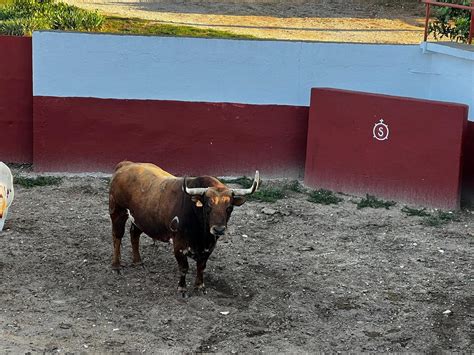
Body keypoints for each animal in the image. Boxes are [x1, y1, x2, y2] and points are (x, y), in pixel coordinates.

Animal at [108, 163, 260, 296]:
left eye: (229, 207)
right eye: (208, 206)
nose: (218, 230)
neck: (202, 235)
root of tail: (126, 165)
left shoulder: (209, 247)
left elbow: (201, 266)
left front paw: (200, 286)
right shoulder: (179, 246)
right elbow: (183, 268)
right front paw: (182, 289)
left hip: (140, 219)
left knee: (134, 234)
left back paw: (138, 262)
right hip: (118, 211)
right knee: (117, 236)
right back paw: (116, 265)